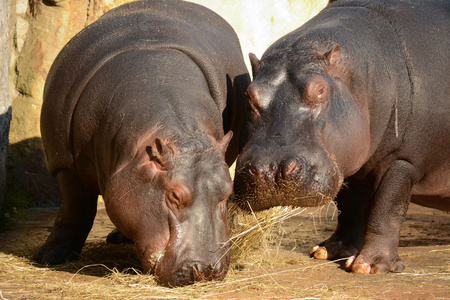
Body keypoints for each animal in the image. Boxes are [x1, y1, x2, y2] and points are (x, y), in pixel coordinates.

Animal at [34, 0, 250, 288]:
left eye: (227, 191)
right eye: (174, 195)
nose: (206, 270)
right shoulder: (64, 164)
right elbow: (74, 209)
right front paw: (48, 258)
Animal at [234, 0, 450, 274]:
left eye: (320, 89)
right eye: (248, 94)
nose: (269, 170)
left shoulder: (403, 160)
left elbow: (386, 209)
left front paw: (369, 266)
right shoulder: (347, 161)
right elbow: (350, 206)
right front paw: (328, 252)